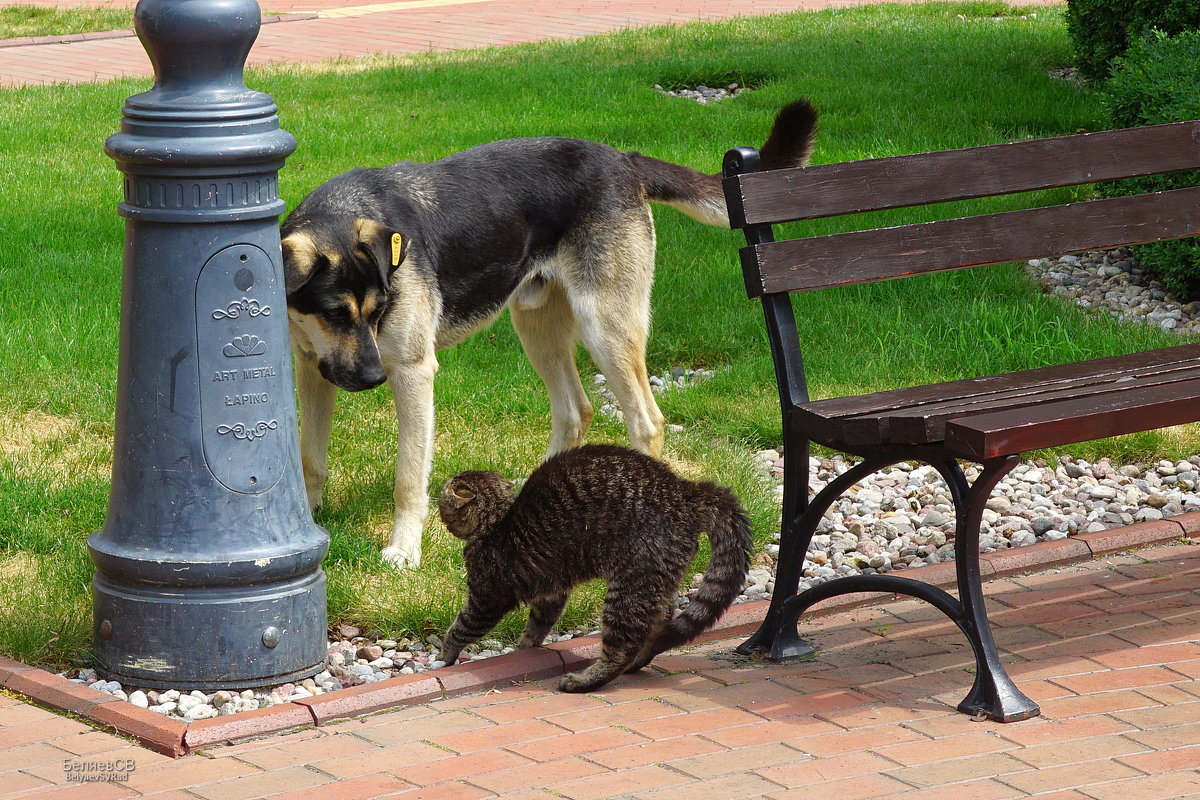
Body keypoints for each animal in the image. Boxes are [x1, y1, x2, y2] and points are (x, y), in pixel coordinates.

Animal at [285, 98, 820, 568]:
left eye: (379, 310)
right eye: (334, 314)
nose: (373, 379)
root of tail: (623, 161)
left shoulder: (413, 373)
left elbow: (408, 478)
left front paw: (403, 550)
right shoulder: (312, 368)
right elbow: (309, 458)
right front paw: (307, 525)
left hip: (604, 327)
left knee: (646, 422)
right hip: (536, 326)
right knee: (575, 411)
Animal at [436, 443, 744, 695]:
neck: (496, 520)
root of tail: (684, 490)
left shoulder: (487, 598)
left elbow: (461, 627)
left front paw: (444, 655)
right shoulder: (551, 591)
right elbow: (538, 624)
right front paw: (526, 648)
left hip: (629, 586)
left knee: (621, 647)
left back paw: (587, 680)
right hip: (655, 580)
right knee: (661, 619)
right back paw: (640, 659)